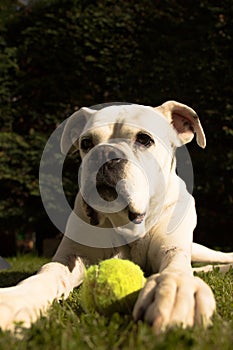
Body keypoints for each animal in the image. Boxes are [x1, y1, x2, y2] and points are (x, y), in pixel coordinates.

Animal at [0, 100, 233, 330]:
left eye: (144, 139)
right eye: (86, 143)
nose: (104, 153)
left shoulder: (172, 248)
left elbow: (176, 266)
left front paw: (175, 289)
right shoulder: (72, 256)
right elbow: (49, 272)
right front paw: (16, 300)